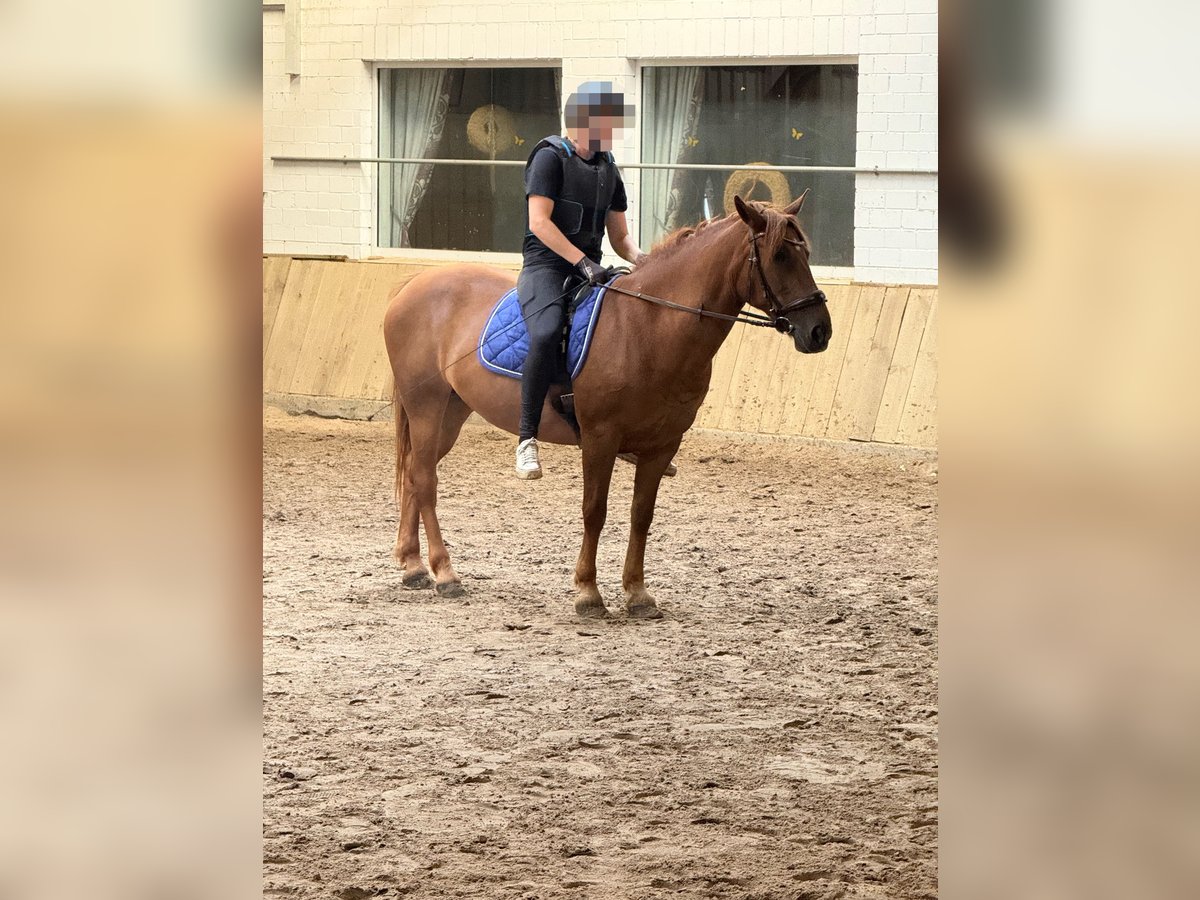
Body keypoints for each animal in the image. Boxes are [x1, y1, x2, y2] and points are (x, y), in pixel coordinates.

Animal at [383, 193, 832, 619]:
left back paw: (413, 567)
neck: (648, 327)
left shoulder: (662, 445)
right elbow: (594, 512)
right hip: (426, 407)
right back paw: (445, 573)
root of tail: (413, 283)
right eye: (779, 256)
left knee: (415, 474)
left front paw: (637, 594)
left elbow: (641, 515)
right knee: (425, 479)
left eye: (806, 253)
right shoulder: (600, 439)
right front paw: (588, 593)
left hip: (451, 412)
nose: (819, 332)